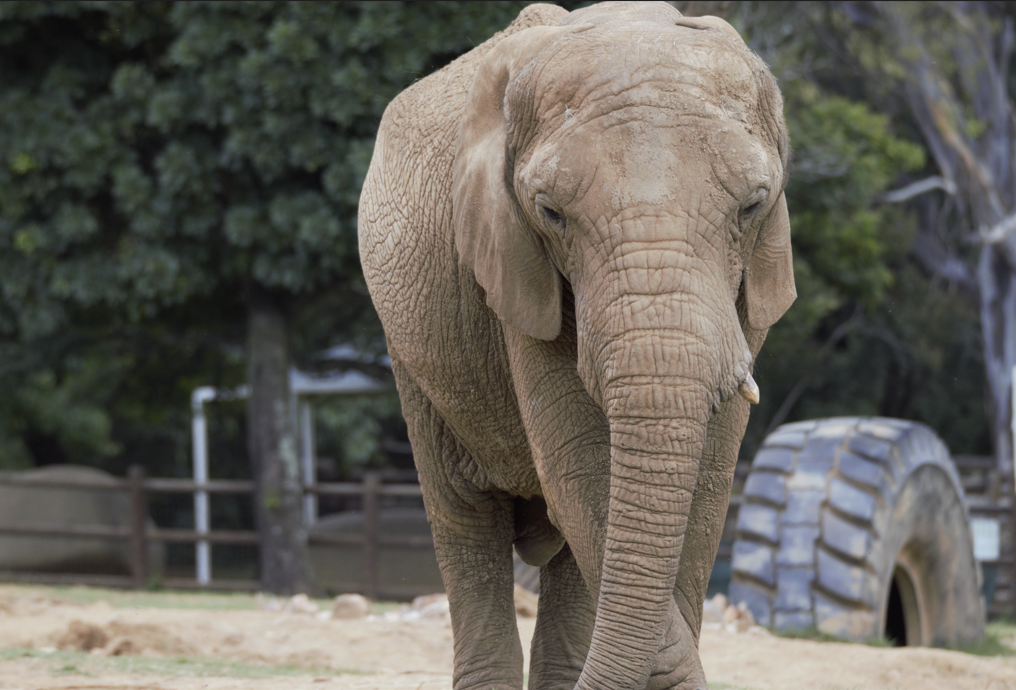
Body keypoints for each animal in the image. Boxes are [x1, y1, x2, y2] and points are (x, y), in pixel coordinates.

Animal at [358, 2, 795, 689]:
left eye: (753, 205)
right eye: (551, 213)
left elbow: (706, 491)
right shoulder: (512, 265)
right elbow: (583, 471)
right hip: (413, 353)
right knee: (463, 516)